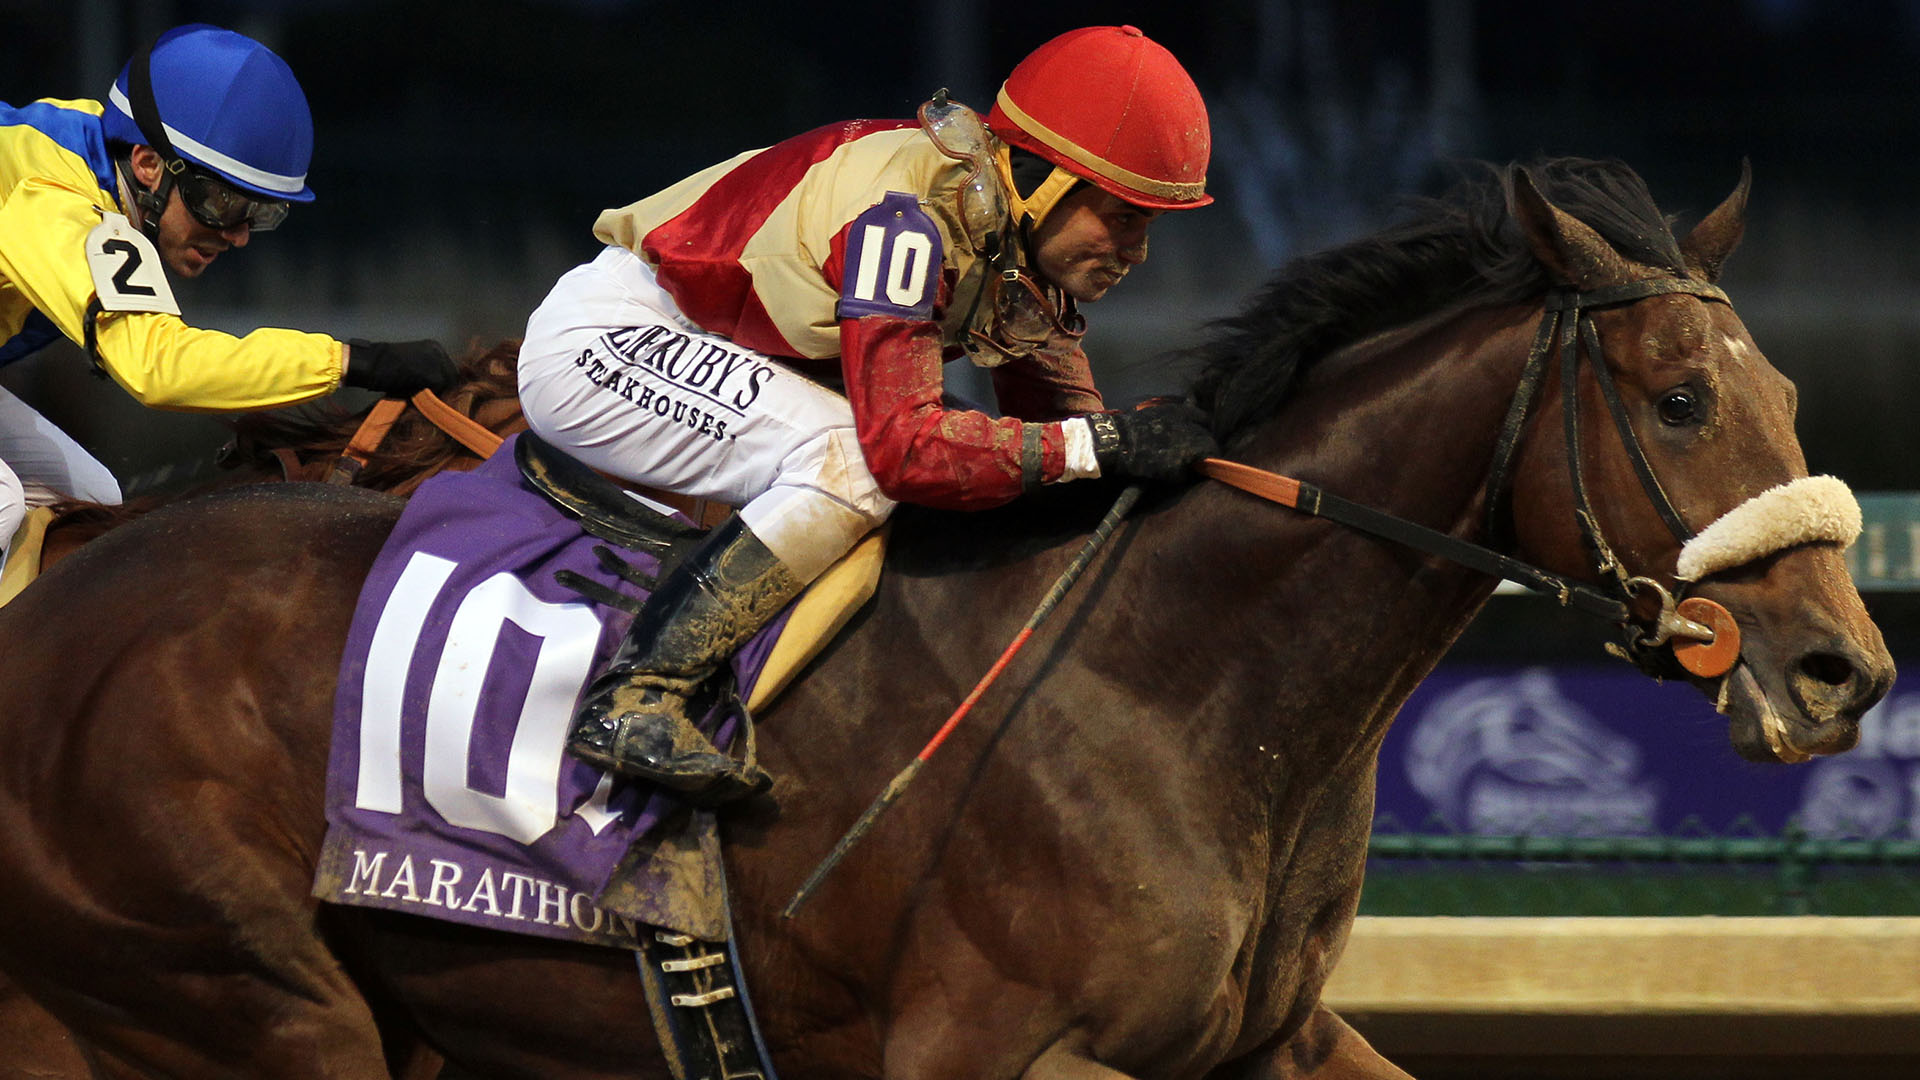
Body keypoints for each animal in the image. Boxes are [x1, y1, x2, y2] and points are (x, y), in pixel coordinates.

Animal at [0, 155, 1889, 1068]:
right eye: (1674, 402)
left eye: (1787, 390)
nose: (1842, 672)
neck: (1179, 688)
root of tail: (57, 606)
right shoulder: (987, 1047)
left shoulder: (1262, 1042)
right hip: (246, 996)